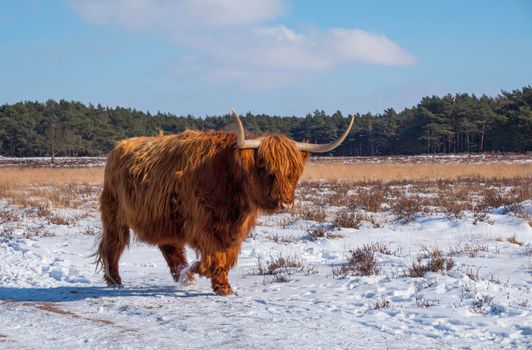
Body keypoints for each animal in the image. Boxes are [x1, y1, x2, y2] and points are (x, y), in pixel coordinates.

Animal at [96, 108, 354, 294]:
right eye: (265, 168)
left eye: (294, 172)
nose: (285, 204)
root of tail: (117, 148)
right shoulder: (202, 222)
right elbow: (214, 255)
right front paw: (210, 276)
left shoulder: (235, 228)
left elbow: (226, 255)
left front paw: (221, 284)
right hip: (114, 213)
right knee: (113, 244)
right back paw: (115, 280)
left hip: (163, 217)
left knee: (170, 247)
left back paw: (184, 277)